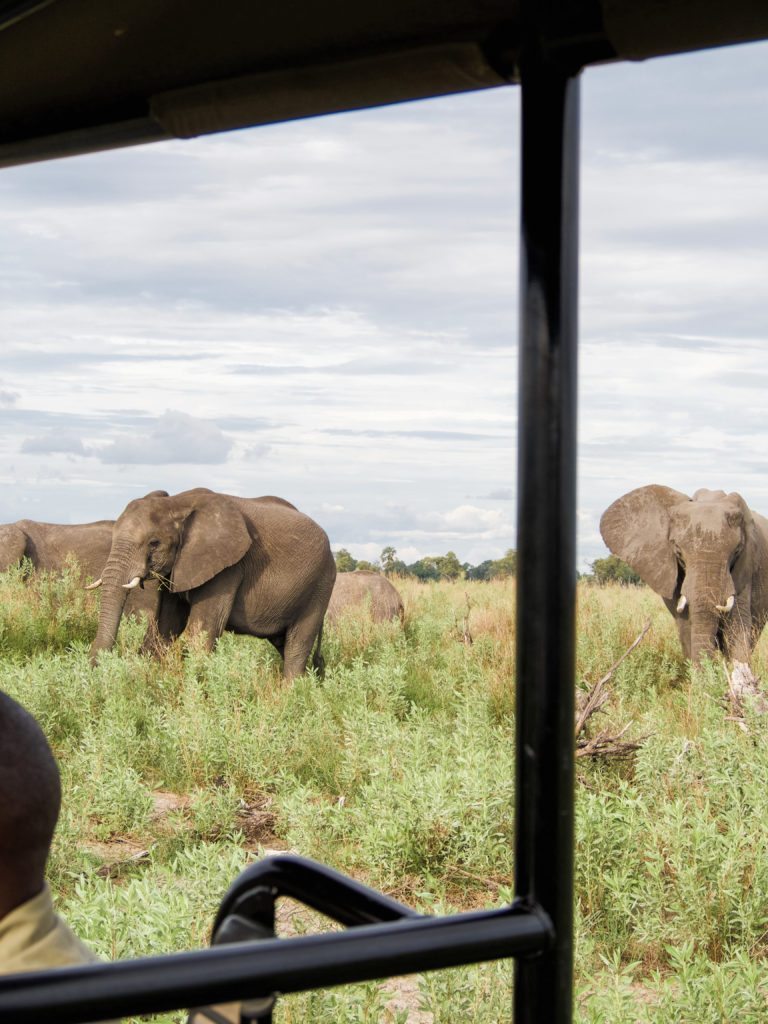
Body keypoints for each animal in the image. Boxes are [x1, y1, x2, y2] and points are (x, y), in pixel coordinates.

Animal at [88, 487, 335, 679]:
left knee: (297, 647)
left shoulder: (228, 568)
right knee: (284, 644)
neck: (177, 503)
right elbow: (166, 625)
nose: (94, 662)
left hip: (320, 585)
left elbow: (202, 631)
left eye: (154, 543)